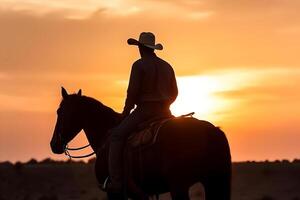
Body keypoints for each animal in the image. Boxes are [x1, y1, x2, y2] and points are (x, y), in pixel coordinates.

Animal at [49, 87, 232, 200]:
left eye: (59, 111)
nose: (54, 144)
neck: (105, 135)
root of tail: (212, 131)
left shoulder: (114, 193)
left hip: (179, 186)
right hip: (213, 180)